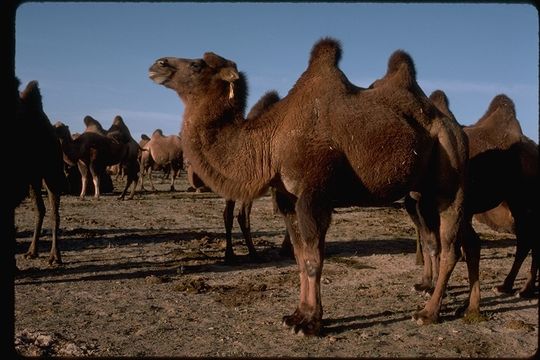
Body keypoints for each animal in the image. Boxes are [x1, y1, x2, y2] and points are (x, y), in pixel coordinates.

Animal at [17, 80, 67, 264]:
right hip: (33, 177)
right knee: (40, 209)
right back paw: (32, 251)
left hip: (51, 172)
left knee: (54, 213)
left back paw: (55, 256)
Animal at [149, 36, 476, 334]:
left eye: (197, 64)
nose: (157, 63)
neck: (271, 140)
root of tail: (455, 126)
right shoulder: (288, 200)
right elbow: (299, 257)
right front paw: (298, 314)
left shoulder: (313, 196)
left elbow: (313, 260)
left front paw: (311, 323)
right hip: (423, 190)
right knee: (449, 239)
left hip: (451, 176)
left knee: (450, 246)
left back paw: (428, 313)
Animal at [410, 90, 540, 298]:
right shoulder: (418, 207)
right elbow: (428, 241)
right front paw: (424, 284)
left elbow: (437, 244)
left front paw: (434, 288)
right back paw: (513, 286)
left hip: (523, 201)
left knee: (527, 241)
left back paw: (520, 288)